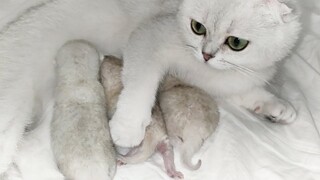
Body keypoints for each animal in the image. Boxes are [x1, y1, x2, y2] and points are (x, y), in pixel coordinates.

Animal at [110, 0, 300, 148]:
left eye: (236, 42)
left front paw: (276, 105)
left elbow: (244, 91)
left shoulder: (222, 79)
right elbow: (140, 85)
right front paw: (128, 127)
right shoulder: (149, 37)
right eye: (197, 27)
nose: (206, 55)